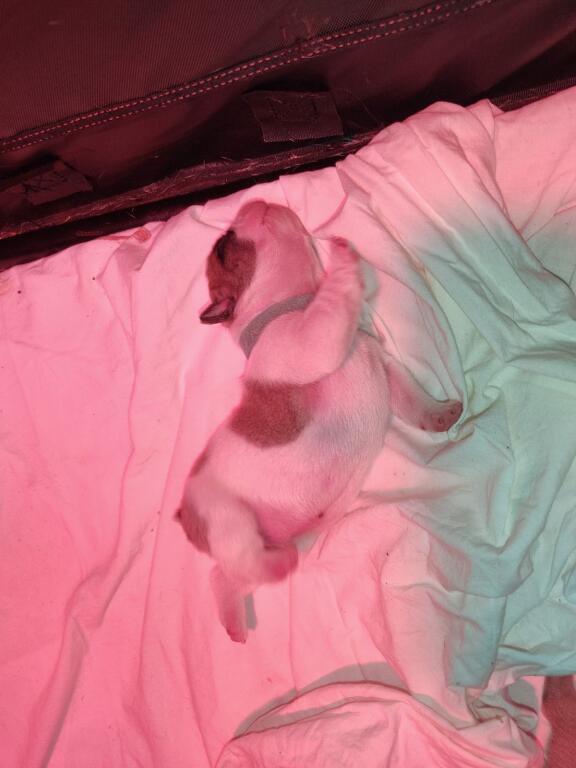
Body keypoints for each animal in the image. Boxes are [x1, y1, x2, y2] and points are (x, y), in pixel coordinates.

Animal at [177, 200, 462, 642]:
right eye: (224, 246)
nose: (256, 200)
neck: (298, 300)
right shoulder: (306, 342)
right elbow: (332, 307)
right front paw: (344, 261)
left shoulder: (385, 368)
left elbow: (412, 398)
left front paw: (440, 414)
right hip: (226, 518)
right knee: (243, 559)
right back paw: (276, 567)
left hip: (264, 546)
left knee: (226, 577)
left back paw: (235, 618)